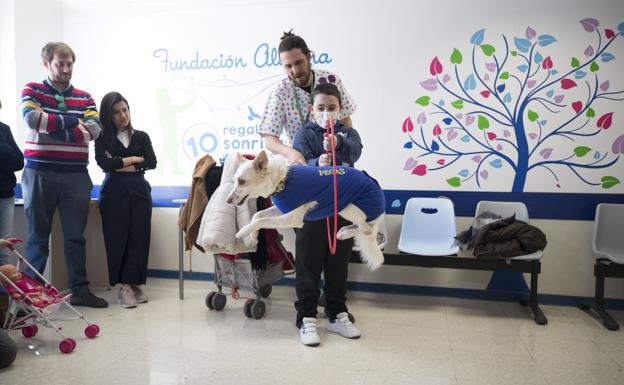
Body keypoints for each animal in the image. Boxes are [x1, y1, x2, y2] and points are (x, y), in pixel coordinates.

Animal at [227, 150, 386, 270]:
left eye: (241, 181)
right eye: (234, 181)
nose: (227, 201)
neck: (282, 181)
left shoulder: (292, 219)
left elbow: (262, 220)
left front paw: (243, 232)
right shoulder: (284, 209)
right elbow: (258, 215)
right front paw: (253, 234)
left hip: (347, 205)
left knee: (367, 229)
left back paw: (347, 232)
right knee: (364, 227)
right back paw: (344, 232)